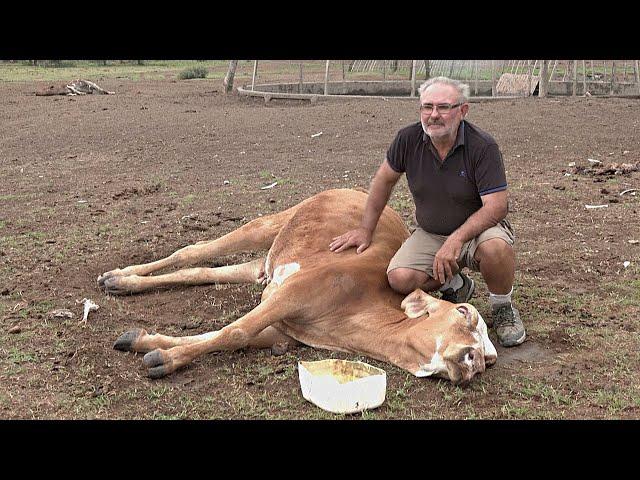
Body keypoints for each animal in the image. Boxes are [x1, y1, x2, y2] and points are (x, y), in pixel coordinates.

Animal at [100, 188, 498, 386]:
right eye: (464, 312)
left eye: (490, 361)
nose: (474, 360)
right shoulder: (291, 295)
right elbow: (234, 331)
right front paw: (166, 360)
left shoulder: (283, 327)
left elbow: (227, 335)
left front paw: (145, 342)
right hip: (272, 223)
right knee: (194, 250)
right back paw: (120, 274)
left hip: (265, 267)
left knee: (201, 270)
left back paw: (122, 282)